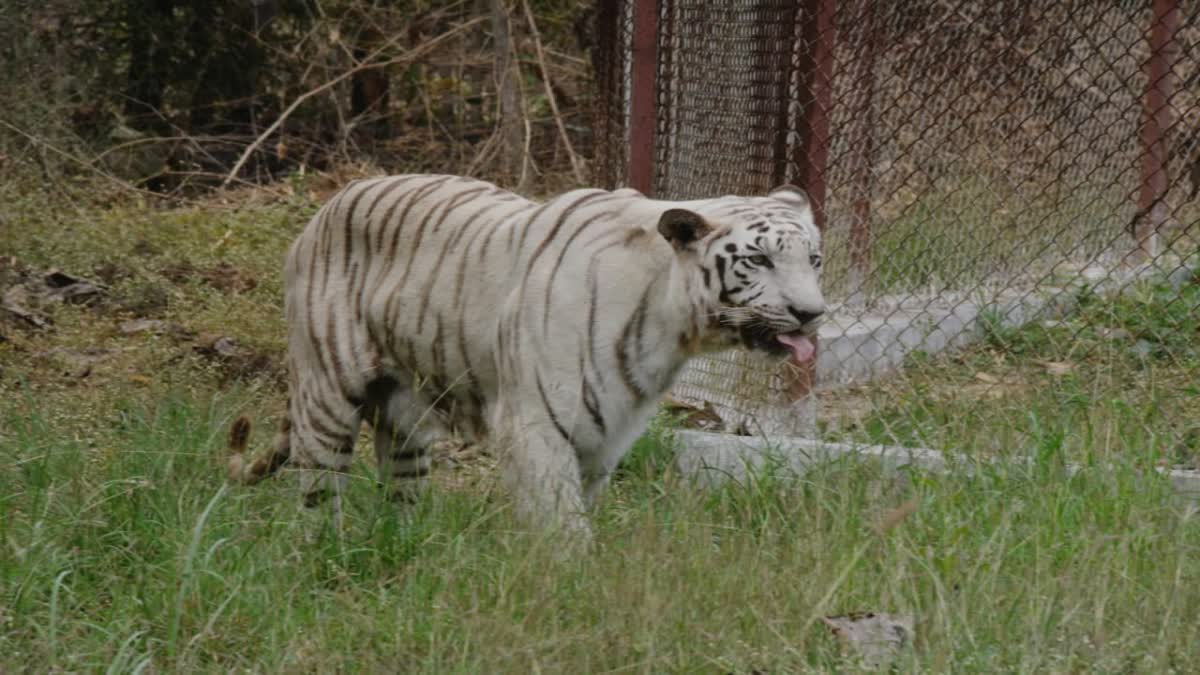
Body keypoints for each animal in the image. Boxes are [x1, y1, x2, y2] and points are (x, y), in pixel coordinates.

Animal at [226, 172, 825, 535]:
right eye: (759, 260)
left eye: (814, 259)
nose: (812, 313)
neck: (672, 326)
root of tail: (324, 210)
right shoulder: (535, 422)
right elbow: (562, 522)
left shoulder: (606, 436)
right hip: (326, 398)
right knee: (318, 493)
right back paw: (328, 552)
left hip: (407, 422)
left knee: (399, 494)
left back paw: (403, 550)